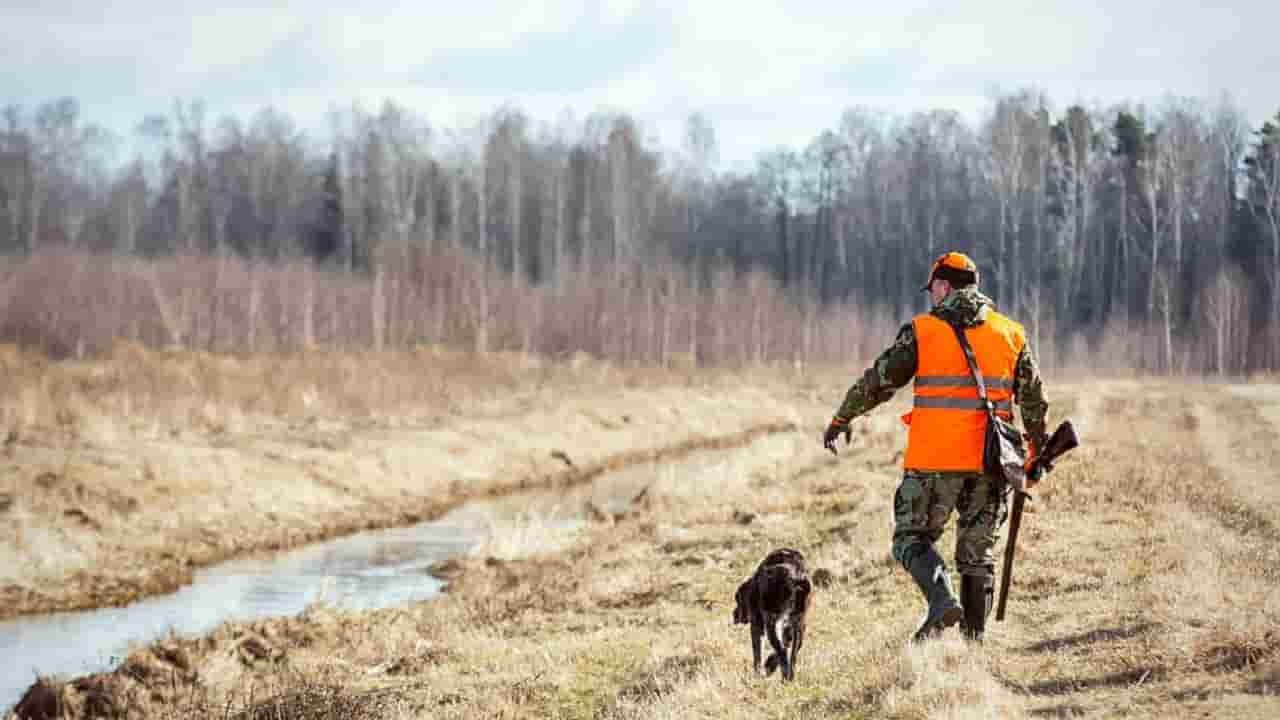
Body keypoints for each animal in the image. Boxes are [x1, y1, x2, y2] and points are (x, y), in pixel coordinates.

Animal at [732, 548, 808, 676]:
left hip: (772, 623)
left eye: (737, 600)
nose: (734, 615)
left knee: (782, 652)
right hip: (798, 623)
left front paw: (758, 673)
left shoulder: (757, 625)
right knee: (792, 654)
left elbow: (757, 654)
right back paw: (788, 675)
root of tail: (795, 577)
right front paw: (769, 665)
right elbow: (786, 644)